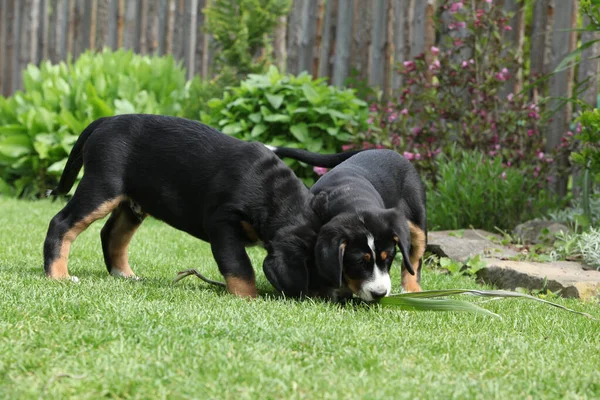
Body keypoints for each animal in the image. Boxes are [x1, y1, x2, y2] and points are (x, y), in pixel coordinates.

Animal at [47, 114, 358, 298]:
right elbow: (240, 266)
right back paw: (58, 275)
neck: (273, 193)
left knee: (112, 235)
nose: (337, 299)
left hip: (133, 202)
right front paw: (249, 299)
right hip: (102, 188)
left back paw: (124, 274)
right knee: (61, 224)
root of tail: (106, 120)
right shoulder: (222, 224)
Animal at [272, 148, 426, 302]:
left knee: (414, 257)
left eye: (388, 257)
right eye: (359, 262)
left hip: (416, 221)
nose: (380, 294)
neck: (354, 200)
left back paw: (411, 289)